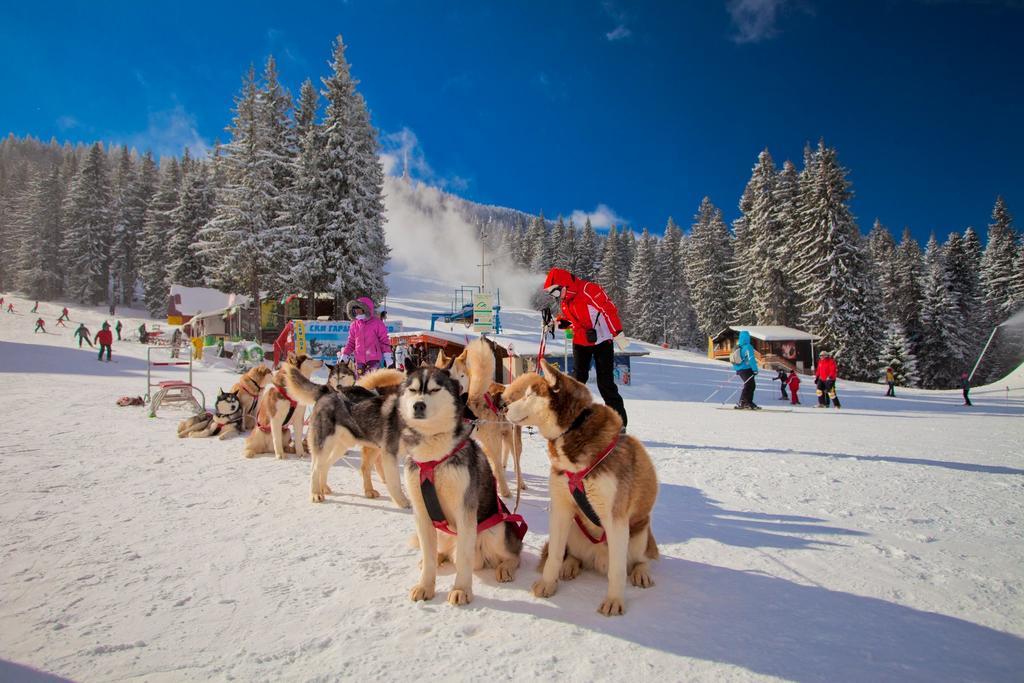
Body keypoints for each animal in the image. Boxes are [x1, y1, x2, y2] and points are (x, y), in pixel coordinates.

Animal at [282, 368, 409, 507]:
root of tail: (328, 392)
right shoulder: (390, 454)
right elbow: (395, 483)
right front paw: (402, 502)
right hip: (325, 446)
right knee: (315, 468)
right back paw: (316, 494)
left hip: (342, 448)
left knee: (326, 465)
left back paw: (327, 488)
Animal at [401, 366, 524, 606]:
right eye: (412, 389)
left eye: (435, 389)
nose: (418, 405)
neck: (433, 456)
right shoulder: (422, 514)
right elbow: (428, 557)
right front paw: (425, 585)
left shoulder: (465, 510)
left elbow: (464, 560)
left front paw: (461, 589)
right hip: (443, 533)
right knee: (442, 552)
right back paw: (439, 556)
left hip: (496, 529)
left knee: (514, 553)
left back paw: (506, 567)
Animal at [501, 360, 659, 618]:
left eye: (529, 395)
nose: (503, 407)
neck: (573, 429)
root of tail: (596, 559)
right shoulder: (561, 508)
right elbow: (554, 555)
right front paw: (548, 583)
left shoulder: (615, 518)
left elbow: (617, 571)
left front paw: (614, 600)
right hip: (575, 528)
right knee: (573, 555)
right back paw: (570, 565)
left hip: (639, 531)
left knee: (638, 560)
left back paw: (641, 572)